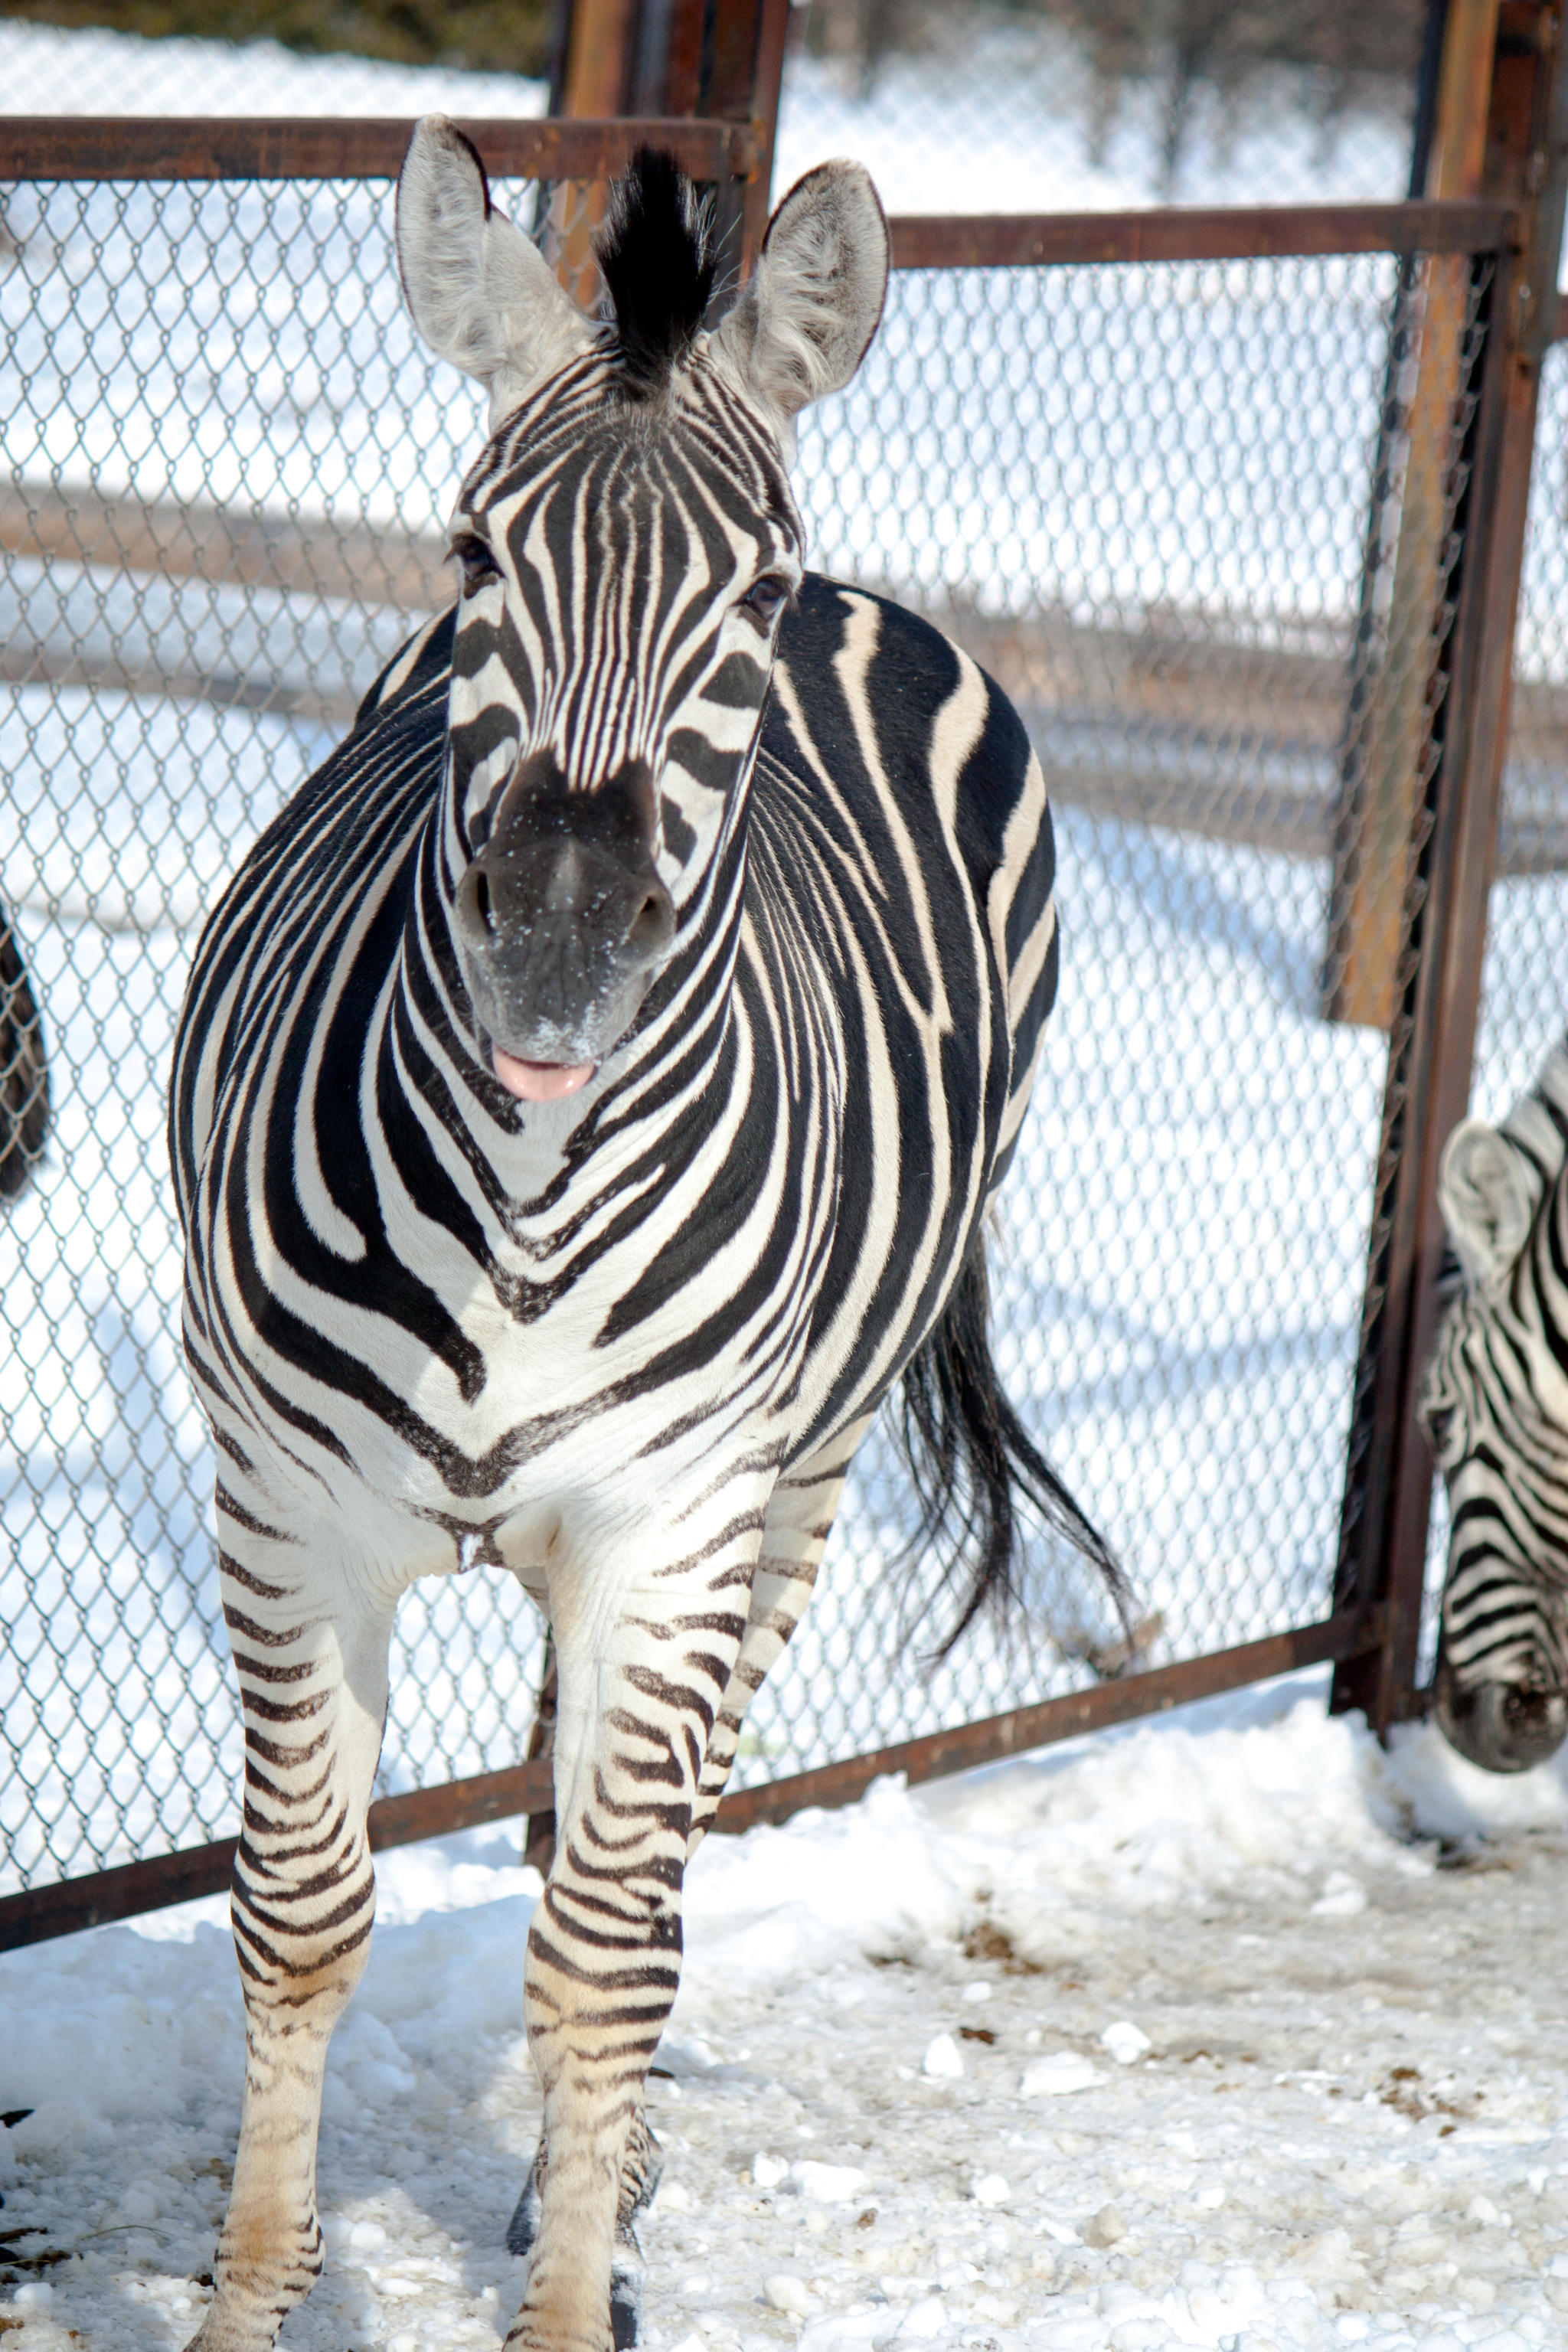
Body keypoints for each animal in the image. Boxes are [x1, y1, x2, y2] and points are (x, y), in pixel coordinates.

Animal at [177, 129, 1123, 2352]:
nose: (555, 952)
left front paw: (573, 2270)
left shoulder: (672, 1523)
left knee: (641, 1861)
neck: (520, 1203)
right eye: (467, 555)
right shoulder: (283, 1503)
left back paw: (596, 2205)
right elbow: (302, 1910)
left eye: (745, 597)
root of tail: (886, 606)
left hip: (796, 1482)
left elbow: (610, 1945)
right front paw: (253, 2296)